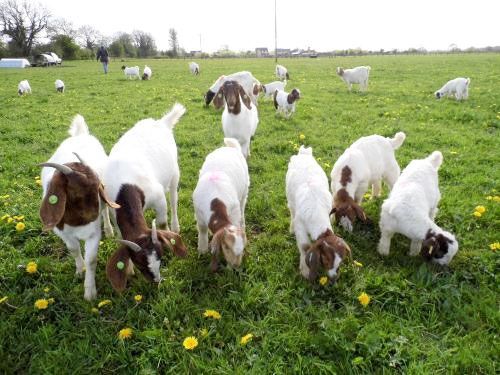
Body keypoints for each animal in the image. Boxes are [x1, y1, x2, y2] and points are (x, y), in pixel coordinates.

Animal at [103, 103, 188, 294]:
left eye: (161, 259)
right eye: (140, 264)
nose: (156, 281)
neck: (126, 185)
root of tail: (162, 122)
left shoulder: (158, 197)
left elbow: (162, 222)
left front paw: (169, 240)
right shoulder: (113, 210)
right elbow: (121, 234)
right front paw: (128, 270)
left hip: (175, 173)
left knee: (173, 198)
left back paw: (175, 226)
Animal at [191, 137, 248, 270]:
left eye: (243, 248)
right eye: (226, 246)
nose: (235, 266)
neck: (216, 203)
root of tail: (230, 148)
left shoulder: (234, 211)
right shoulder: (199, 213)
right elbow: (202, 230)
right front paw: (202, 250)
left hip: (244, 191)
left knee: (243, 205)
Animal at [286, 145, 352, 284]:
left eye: (340, 262)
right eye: (325, 260)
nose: (333, 278)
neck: (316, 210)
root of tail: (304, 153)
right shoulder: (300, 223)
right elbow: (305, 246)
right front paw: (305, 271)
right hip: (289, 197)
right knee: (291, 210)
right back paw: (291, 228)